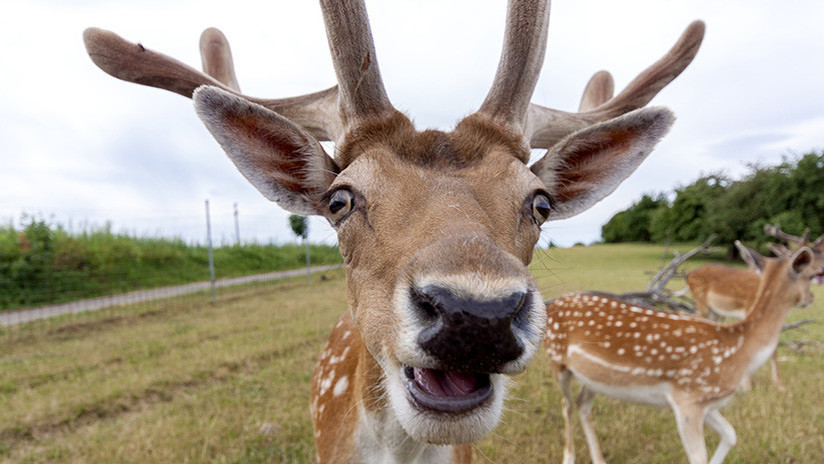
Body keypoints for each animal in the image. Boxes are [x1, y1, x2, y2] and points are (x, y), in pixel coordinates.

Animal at [544, 241, 820, 464]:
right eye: (810, 275)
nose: (810, 299)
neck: (738, 351)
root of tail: (551, 305)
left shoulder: (706, 402)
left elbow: (731, 435)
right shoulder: (687, 396)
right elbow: (698, 456)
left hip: (595, 378)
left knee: (582, 404)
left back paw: (599, 459)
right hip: (557, 361)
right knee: (566, 405)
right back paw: (569, 457)